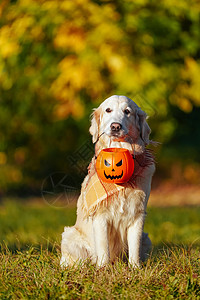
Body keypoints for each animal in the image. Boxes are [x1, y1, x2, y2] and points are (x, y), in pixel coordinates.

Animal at [60, 95, 155, 268]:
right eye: (108, 110)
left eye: (127, 111)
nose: (115, 126)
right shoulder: (100, 215)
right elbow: (104, 246)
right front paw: (103, 268)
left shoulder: (138, 214)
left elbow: (135, 246)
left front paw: (135, 268)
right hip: (69, 235)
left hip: (147, 238)